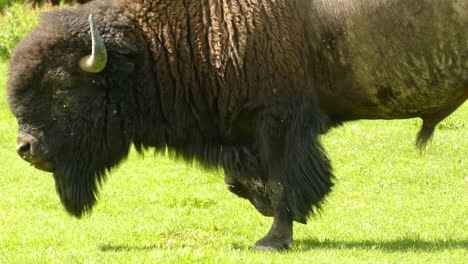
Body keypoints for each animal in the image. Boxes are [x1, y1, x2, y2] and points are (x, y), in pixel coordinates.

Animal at [5, 0, 466, 252]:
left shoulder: (279, 121)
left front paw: (273, 239)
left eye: (62, 84)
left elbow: (284, 183)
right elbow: (245, 181)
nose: (25, 148)